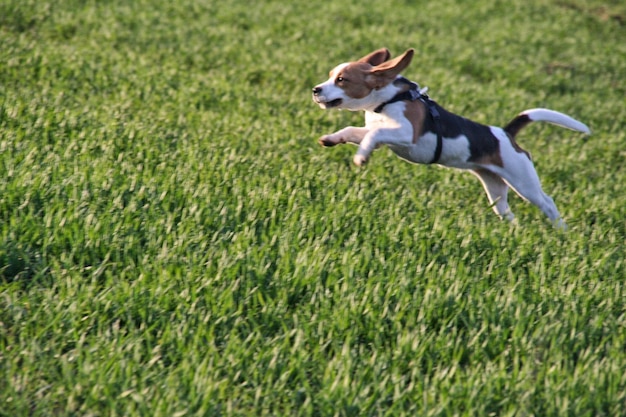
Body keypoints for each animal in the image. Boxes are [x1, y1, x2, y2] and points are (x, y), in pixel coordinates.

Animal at [312, 48, 588, 228]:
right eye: (330, 75)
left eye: (341, 80)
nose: (315, 89)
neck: (388, 100)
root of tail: (505, 133)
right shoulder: (377, 131)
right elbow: (354, 130)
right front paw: (332, 138)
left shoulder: (406, 134)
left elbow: (375, 134)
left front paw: (361, 157)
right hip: (495, 186)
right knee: (508, 213)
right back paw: (513, 232)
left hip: (523, 181)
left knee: (547, 203)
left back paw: (562, 232)